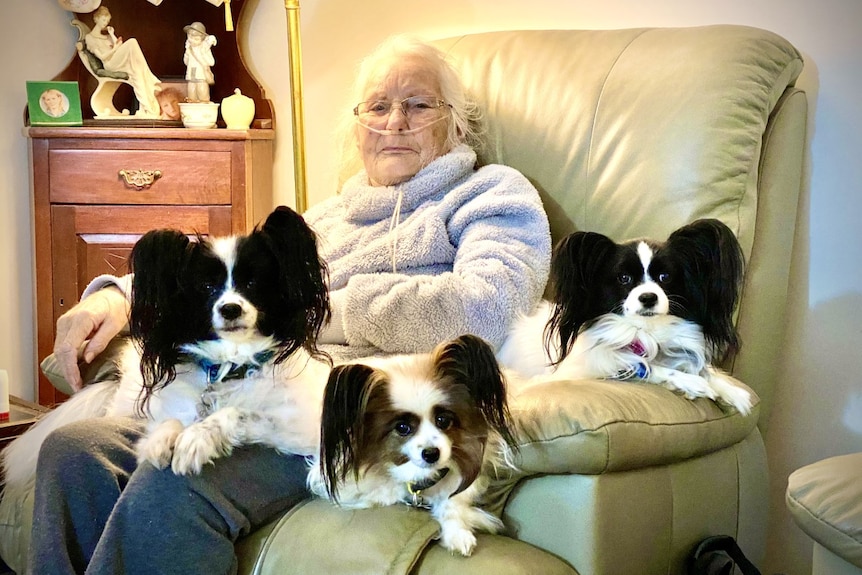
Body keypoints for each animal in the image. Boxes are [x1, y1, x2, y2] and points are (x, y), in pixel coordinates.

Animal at [1, 207, 332, 496]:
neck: (229, 363)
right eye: (207, 286)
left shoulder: (299, 427)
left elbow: (235, 412)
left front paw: (195, 439)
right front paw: (160, 439)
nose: (230, 309)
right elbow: (171, 418)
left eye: (252, 283)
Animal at [308, 332, 516, 560]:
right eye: (402, 427)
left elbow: (452, 501)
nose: (431, 454)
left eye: (443, 420)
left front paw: (458, 533)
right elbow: (387, 492)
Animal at [500, 219, 756, 414]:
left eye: (665, 277)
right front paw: (690, 382)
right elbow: (643, 367)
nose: (648, 297)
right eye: (624, 279)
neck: (645, 331)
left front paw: (730, 391)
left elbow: (701, 368)